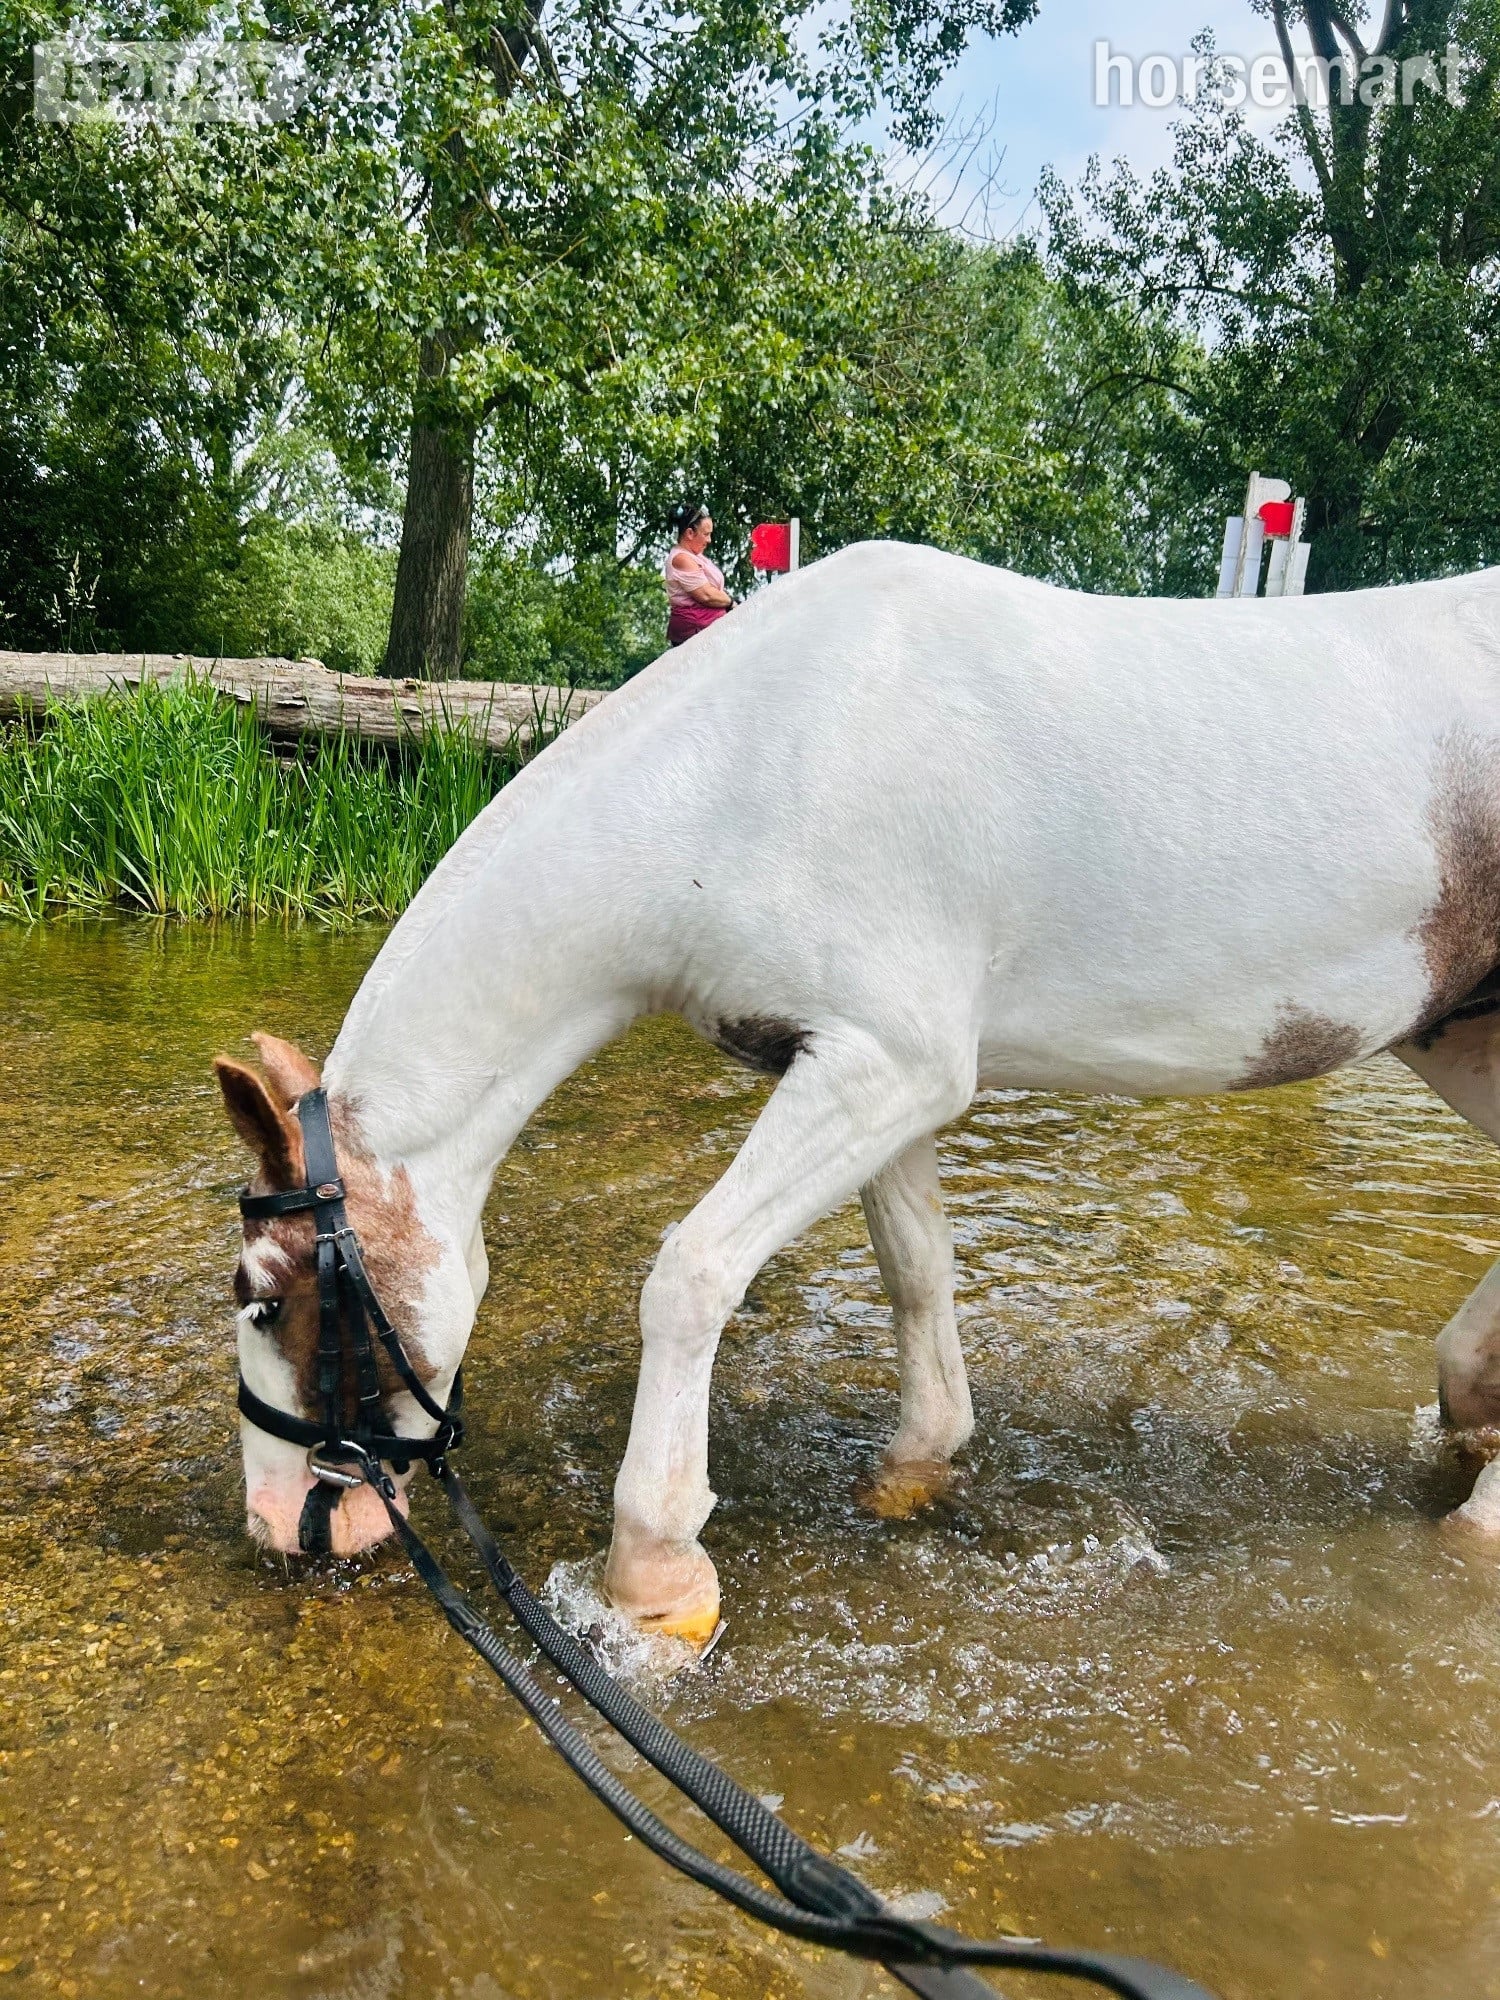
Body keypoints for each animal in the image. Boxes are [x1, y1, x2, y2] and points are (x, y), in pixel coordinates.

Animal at [216, 541, 1500, 1640]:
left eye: (264, 1299)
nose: (280, 1528)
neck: (751, 766)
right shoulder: (866, 1071)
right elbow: (915, 1268)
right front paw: (917, 1465)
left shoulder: (891, 1064)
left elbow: (690, 1276)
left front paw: (654, 1572)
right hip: (1463, 1037)